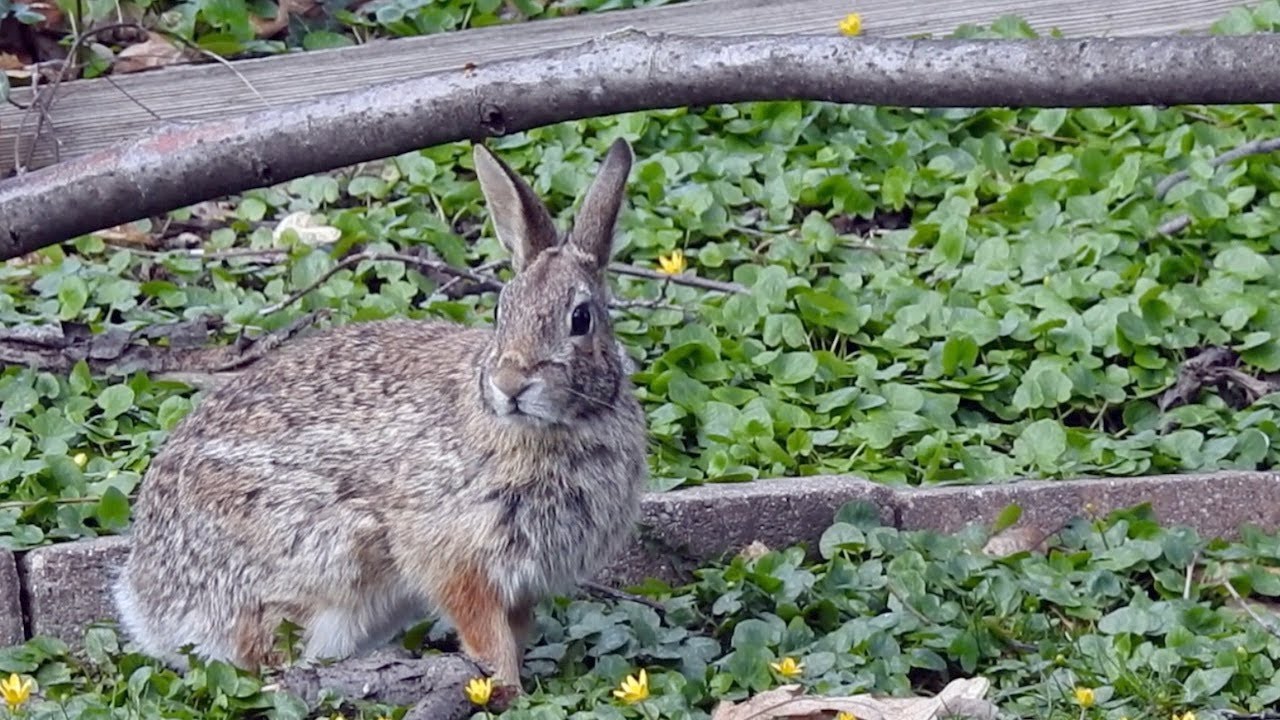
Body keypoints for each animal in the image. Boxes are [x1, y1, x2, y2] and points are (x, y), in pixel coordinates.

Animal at [112, 138, 649, 690]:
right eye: (502, 312)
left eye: (581, 319)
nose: (509, 384)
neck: (553, 427)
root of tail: (147, 604)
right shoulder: (453, 554)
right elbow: (485, 632)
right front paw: (506, 688)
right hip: (327, 557)